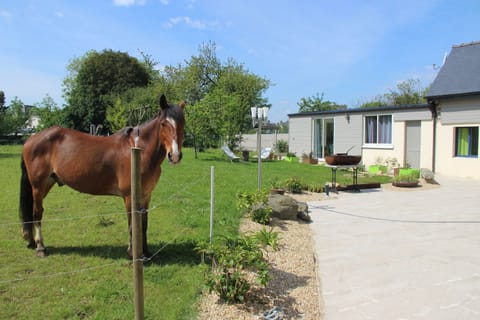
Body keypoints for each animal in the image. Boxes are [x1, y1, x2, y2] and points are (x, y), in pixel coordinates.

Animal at [19, 94, 184, 258]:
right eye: (163, 123)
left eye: (183, 122)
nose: (174, 155)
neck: (139, 150)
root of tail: (31, 139)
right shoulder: (129, 197)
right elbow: (132, 225)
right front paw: (133, 254)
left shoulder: (146, 196)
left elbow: (143, 224)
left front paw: (146, 252)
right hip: (38, 187)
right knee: (37, 214)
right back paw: (40, 248)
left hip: (47, 183)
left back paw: (32, 242)